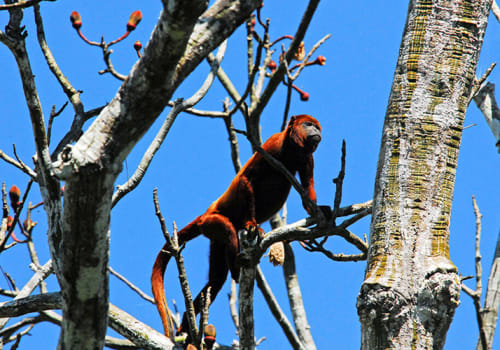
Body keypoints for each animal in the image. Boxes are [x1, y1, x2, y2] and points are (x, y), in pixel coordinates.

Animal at [151, 114, 324, 336]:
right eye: (308, 124)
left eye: (317, 127)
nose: (317, 132)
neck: (291, 149)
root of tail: (204, 215)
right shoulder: (271, 146)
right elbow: (246, 178)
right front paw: (251, 223)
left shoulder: (307, 158)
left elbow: (307, 191)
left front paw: (323, 212)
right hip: (211, 222)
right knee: (228, 232)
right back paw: (235, 265)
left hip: (213, 239)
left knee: (216, 281)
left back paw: (185, 324)